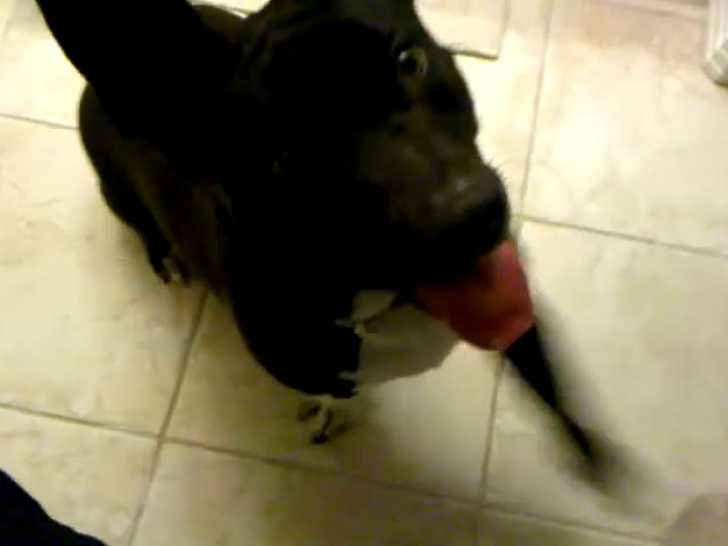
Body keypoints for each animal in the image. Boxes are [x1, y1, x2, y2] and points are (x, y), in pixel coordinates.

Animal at [36, 0, 602, 465]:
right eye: (286, 158)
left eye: (410, 63)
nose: (468, 217)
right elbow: (335, 391)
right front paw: (334, 411)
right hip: (116, 190)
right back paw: (165, 257)